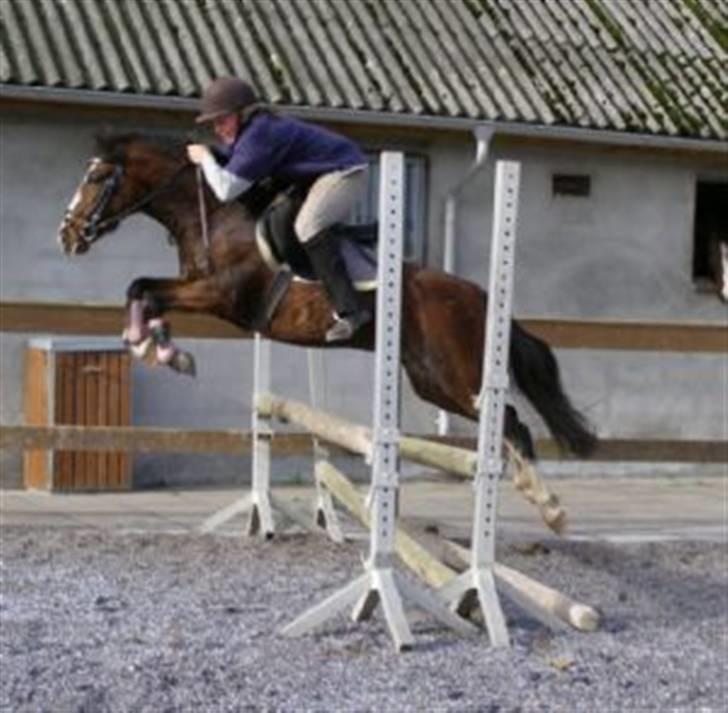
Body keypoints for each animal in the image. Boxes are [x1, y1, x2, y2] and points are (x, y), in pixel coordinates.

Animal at [58, 134, 596, 532]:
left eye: (98, 178)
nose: (67, 235)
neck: (213, 215)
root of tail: (480, 297)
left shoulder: (220, 296)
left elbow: (145, 289)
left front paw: (161, 350)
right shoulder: (198, 290)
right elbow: (141, 289)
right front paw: (157, 348)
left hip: (453, 373)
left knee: (509, 419)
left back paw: (549, 505)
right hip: (430, 379)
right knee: (503, 420)